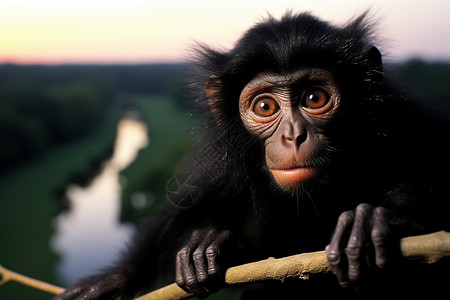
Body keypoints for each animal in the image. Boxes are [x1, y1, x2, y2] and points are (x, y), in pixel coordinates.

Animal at [54, 10, 448, 298]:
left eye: (315, 98)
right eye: (264, 106)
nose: (293, 135)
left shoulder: (407, 123)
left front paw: (375, 223)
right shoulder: (221, 152)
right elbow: (186, 207)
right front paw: (116, 280)